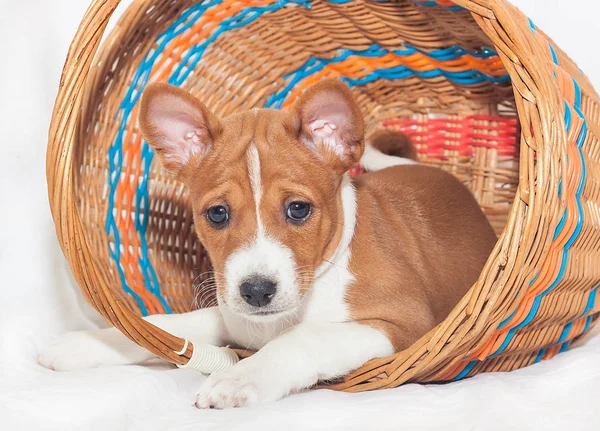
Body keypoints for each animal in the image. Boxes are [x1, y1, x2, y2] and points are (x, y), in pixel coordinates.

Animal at [38, 80, 496, 408]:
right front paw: (90, 342)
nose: (257, 291)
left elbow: (306, 338)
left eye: (298, 209)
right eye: (217, 214)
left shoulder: (403, 325)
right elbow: (170, 324)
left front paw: (241, 377)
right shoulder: (236, 318)